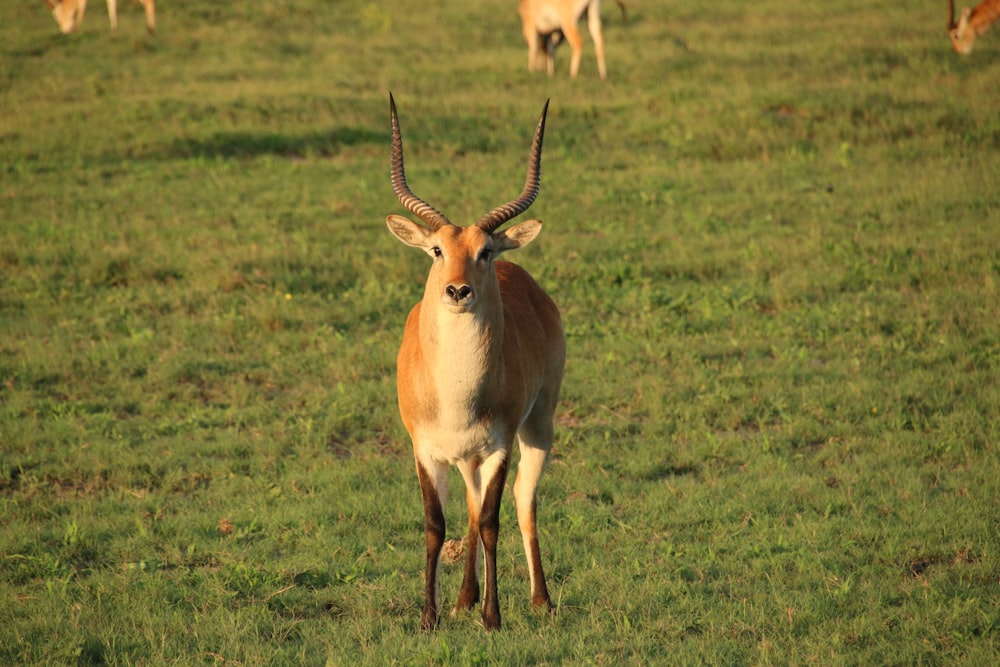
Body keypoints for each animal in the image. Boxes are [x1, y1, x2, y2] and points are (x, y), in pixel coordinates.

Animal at [386, 94, 568, 632]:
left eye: (484, 250)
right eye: (436, 249)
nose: (458, 290)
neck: (457, 395)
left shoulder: (499, 446)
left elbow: (491, 521)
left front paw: (493, 617)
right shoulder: (425, 449)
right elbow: (435, 523)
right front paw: (430, 617)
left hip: (539, 426)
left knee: (523, 502)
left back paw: (540, 601)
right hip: (465, 456)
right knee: (468, 505)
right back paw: (463, 599)